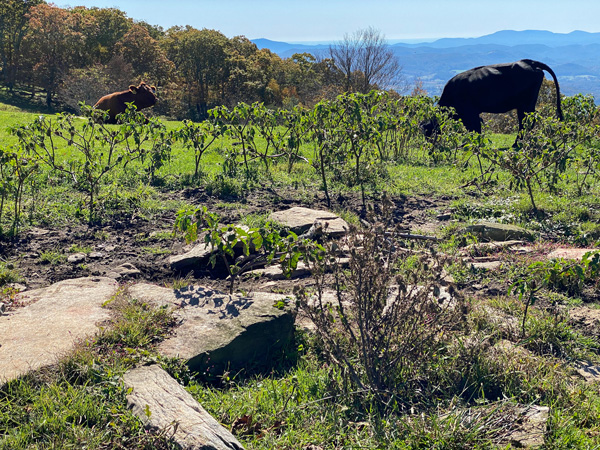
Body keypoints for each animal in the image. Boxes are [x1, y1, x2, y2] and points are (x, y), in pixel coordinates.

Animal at [422, 59, 564, 138]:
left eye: (428, 133)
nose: (429, 149)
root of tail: (529, 62)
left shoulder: (470, 113)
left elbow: (475, 129)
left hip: (525, 104)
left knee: (525, 122)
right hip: (525, 104)